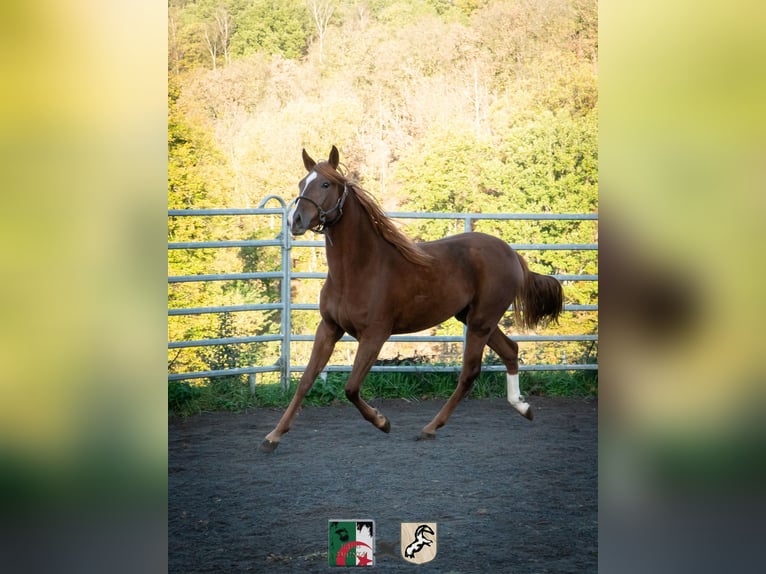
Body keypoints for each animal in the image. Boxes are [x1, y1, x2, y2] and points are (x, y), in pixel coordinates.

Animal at [260, 146, 563, 452]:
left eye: (325, 184)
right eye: (302, 183)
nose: (296, 221)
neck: (359, 269)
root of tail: (512, 254)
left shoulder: (375, 335)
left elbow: (351, 388)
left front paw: (383, 422)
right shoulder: (329, 328)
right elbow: (305, 380)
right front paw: (273, 436)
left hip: (481, 321)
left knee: (470, 372)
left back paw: (430, 428)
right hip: (474, 318)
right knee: (510, 350)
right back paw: (522, 407)